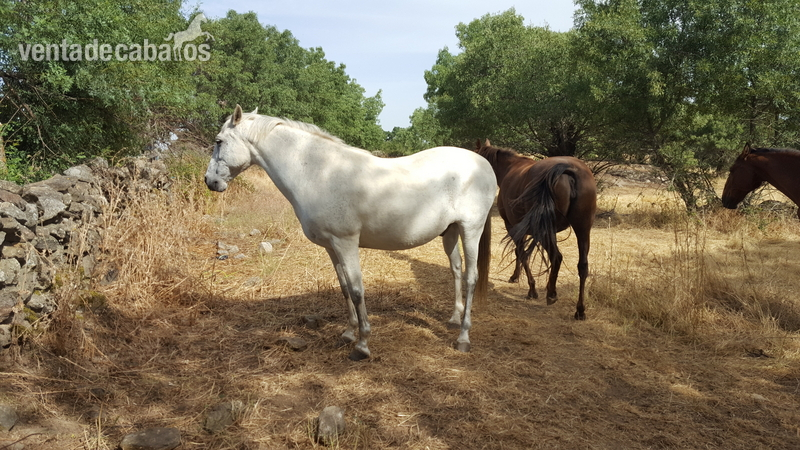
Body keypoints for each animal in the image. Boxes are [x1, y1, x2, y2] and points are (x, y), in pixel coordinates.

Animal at [205, 105, 496, 360]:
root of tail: (483, 163)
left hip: (471, 230)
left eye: (219, 141)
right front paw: (347, 333)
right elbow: (344, 288)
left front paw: (362, 345)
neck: (319, 172)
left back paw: (463, 338)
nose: (210, 182)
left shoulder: (345, 243)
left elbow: (357, 290)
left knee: (471, 277)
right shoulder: (331, 246)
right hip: (451, 232)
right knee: (456, 269)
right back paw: (454, 318)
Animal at [474, 139, 597, 320]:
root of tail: (566, 169)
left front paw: (531, 288)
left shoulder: (512, 226)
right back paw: (580, 310)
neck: (510, 167)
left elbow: (522, 253)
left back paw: (551, 293)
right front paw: (516, 276)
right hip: (582, 229)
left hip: (546, 231)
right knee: (582, 266)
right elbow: (519, 253)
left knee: (556, 257)